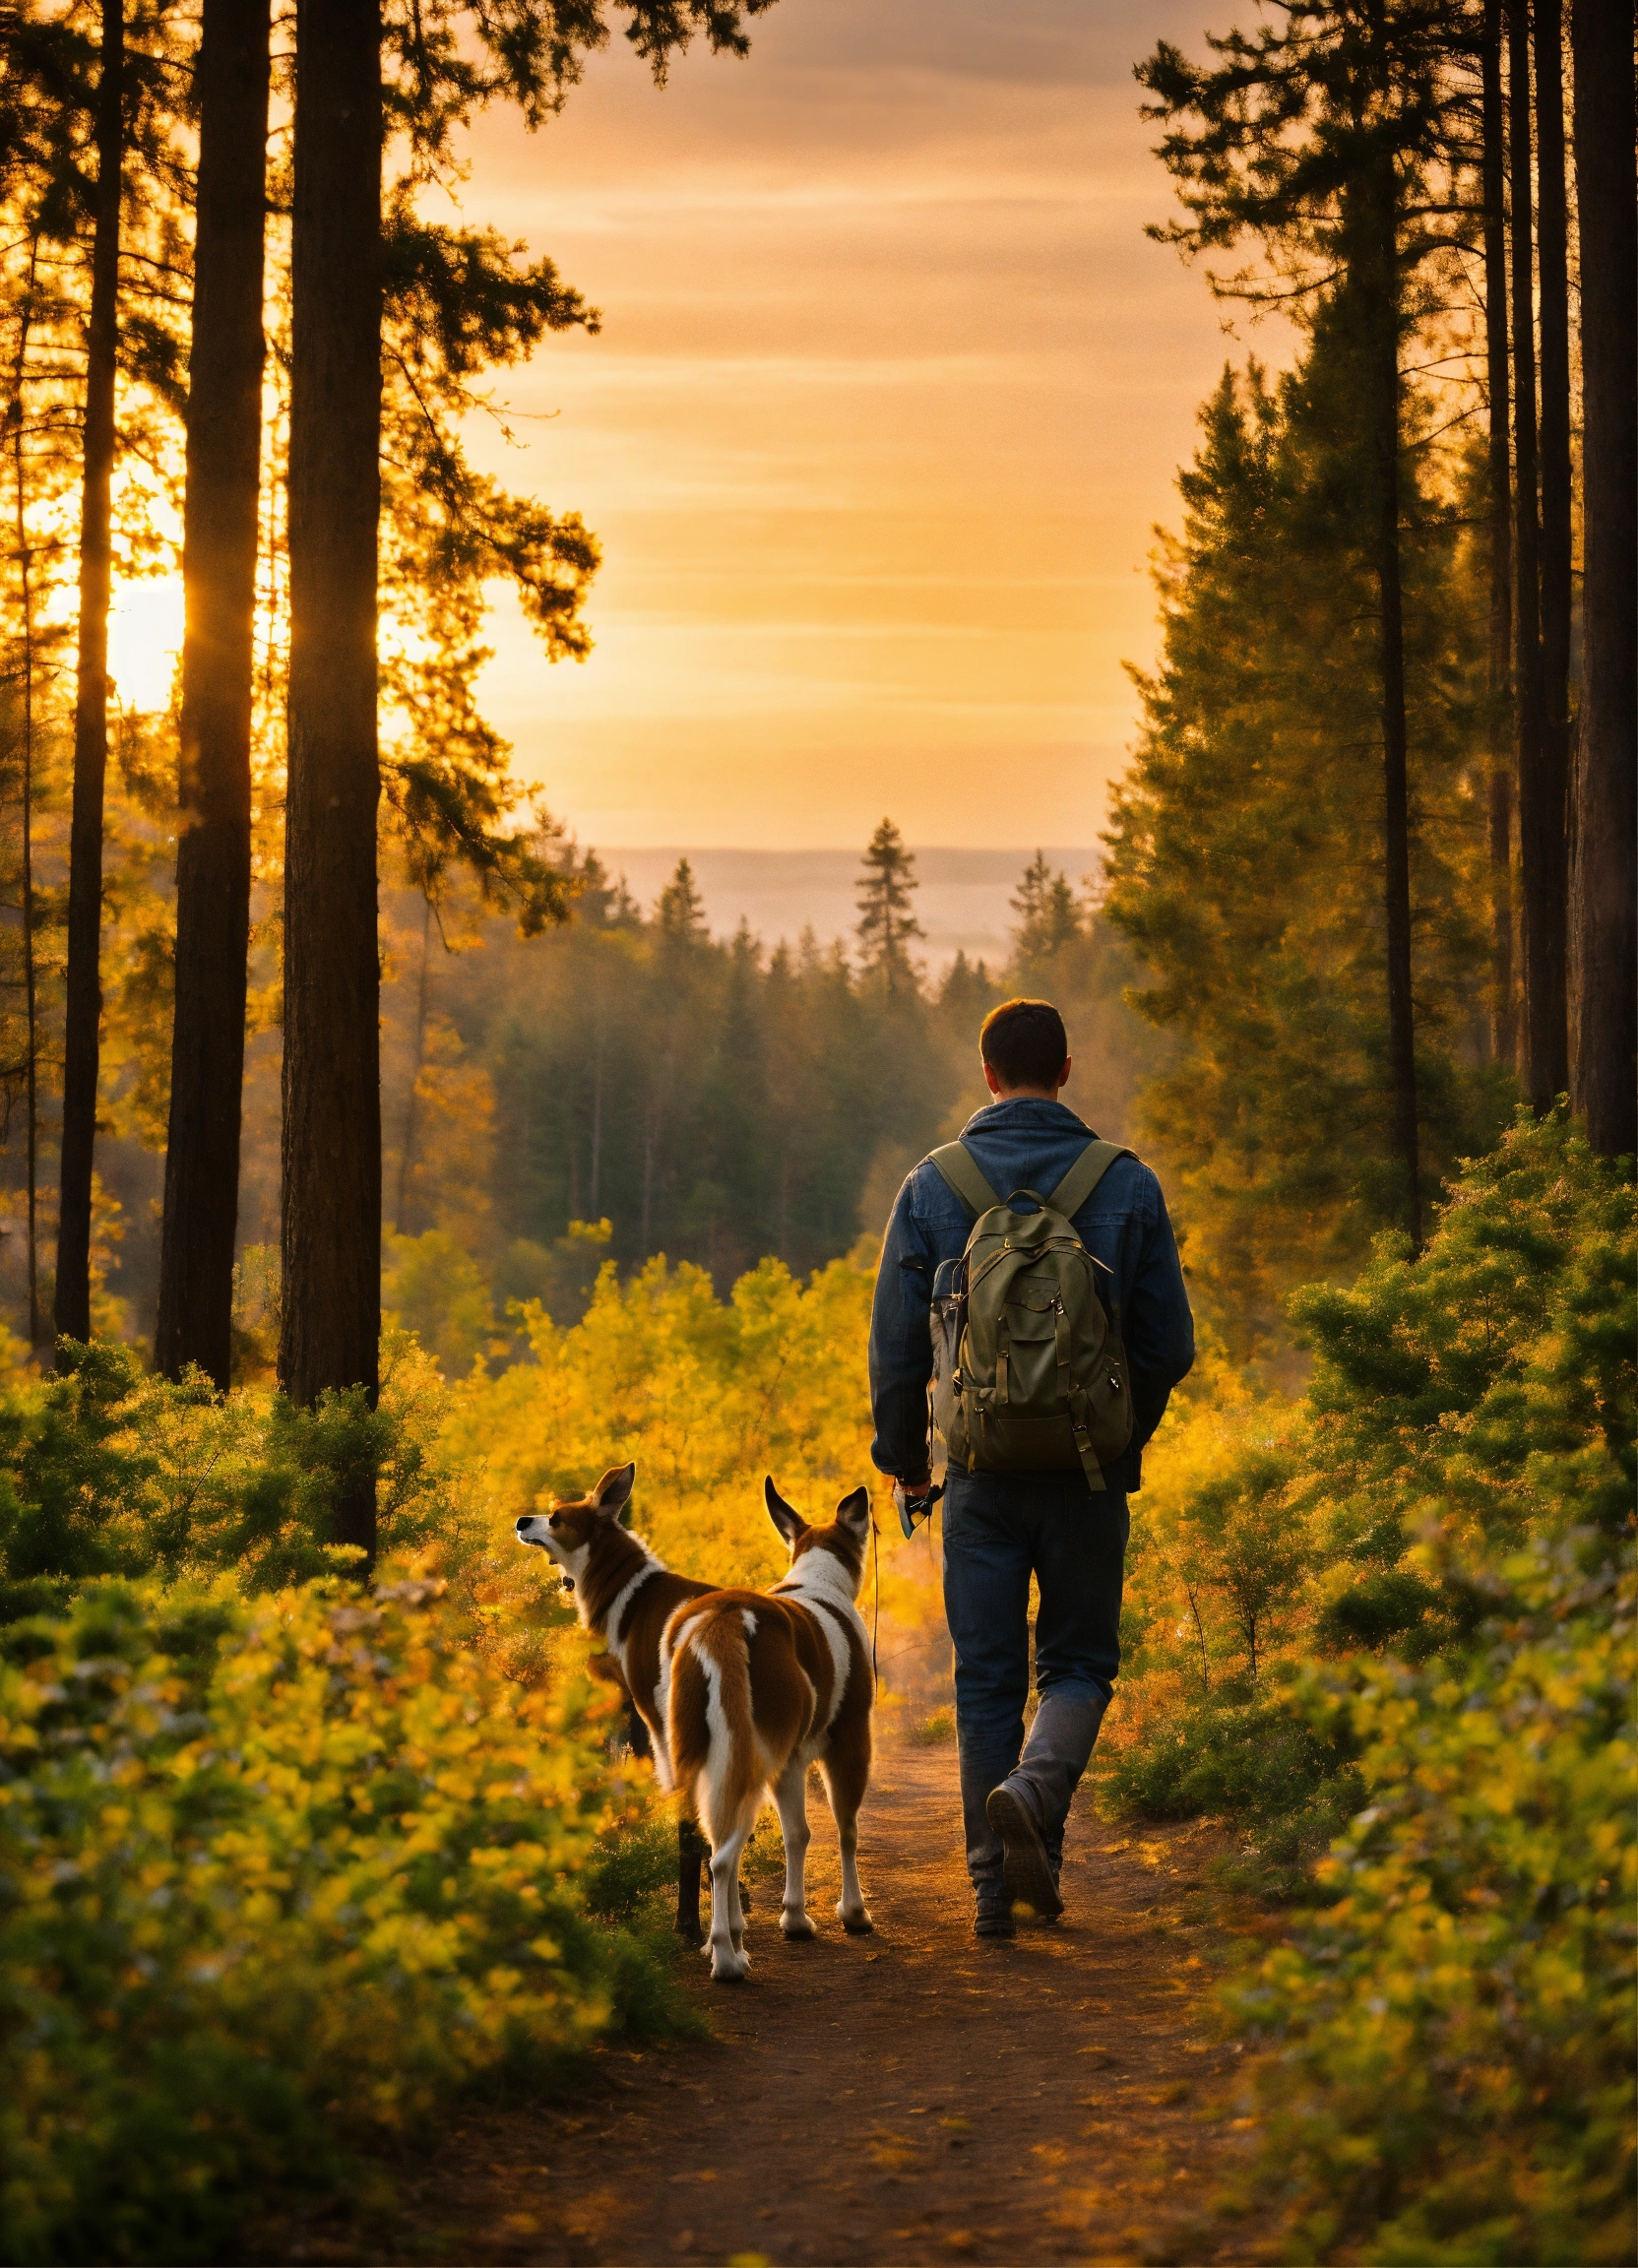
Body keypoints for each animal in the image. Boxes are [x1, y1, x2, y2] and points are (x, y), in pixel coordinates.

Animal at [662, 1479, 875, 1978]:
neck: (816, 1579)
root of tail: (722, 1622)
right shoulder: (848, 1743)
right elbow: (843, 1828)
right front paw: (850, 1913)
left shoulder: (789, 1761)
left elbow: (796, 1834)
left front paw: (792, 1918)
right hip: (752, 1763)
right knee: (723, 1858)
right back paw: (726, 1958)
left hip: (700, 1760)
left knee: (709, 1846)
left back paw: (728, 1943)